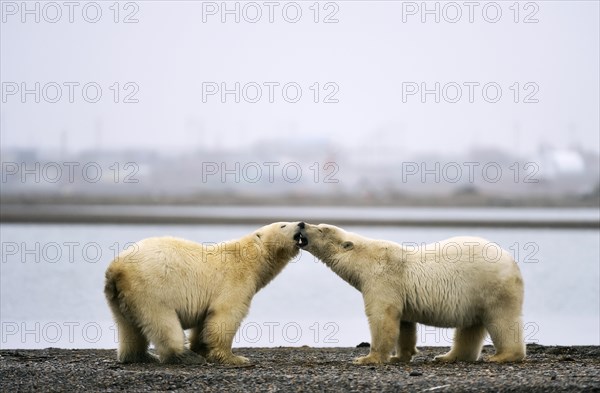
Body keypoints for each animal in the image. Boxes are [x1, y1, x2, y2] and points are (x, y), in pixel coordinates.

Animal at [106, 222, 302, 362]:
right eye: (283, 225)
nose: (300, 224)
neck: (251, 259)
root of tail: (116, 268)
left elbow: (204, 321)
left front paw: (202, 348)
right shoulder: (234, 281)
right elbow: (226, 315)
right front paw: (235, 358)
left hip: (121, 297)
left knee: (128, 327)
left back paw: (141, 356)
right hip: (151, 289)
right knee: (163, 322)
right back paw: (185, 357)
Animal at [294, 222, 524, 362]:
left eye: (321, 229)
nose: (302, 224)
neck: (366, 258)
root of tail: (512, 262)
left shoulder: (383, 279)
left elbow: (382, 316)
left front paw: (367, 358)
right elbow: (404, 323)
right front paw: (401, 355)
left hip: (491, 287)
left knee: (502, 320)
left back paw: (502, 356)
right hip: (474, 295)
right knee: (469, 328)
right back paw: (448, 357)